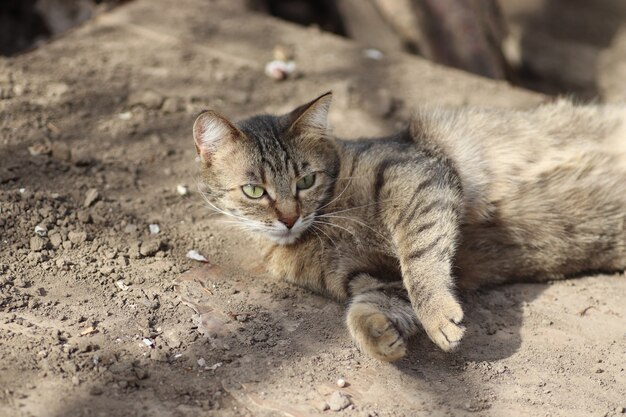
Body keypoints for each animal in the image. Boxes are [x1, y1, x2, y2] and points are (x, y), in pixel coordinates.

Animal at [190, 92, 624, 360]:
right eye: (253, 190)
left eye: (306, 181)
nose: (288, 218)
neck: (326, 223)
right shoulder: (371, 278)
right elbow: (372, 305)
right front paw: (377, 333)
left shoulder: (416, 174)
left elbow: (419, 256)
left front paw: (436, 314)